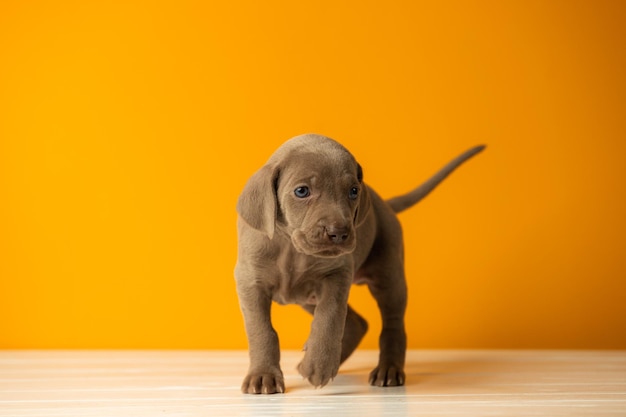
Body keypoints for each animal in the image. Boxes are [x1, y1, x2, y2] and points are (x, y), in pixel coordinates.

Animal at [234, 134, 482, 394]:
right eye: (302, 191)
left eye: (353, 191)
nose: (339, 232)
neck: (291, 249)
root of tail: (384, 204)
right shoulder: (250, 283)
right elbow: (261, 330)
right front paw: (263, 376)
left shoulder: (337, 275)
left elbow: (329, 318)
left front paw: (319, 365)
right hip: (306, 297)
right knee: (357, 323)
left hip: (389, 278)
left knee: (392, 326)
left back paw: (388, 370)